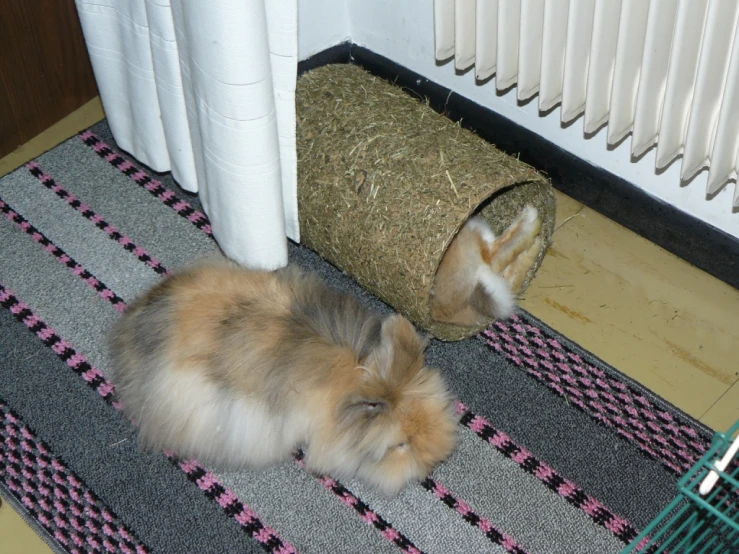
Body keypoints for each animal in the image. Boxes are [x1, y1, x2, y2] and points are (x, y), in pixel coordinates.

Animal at [294, 64, 556, 340]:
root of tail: (449, 309)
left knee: (506, 277)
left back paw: (536, 243)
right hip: (471, 237)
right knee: (497, 256)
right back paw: (532, 223)